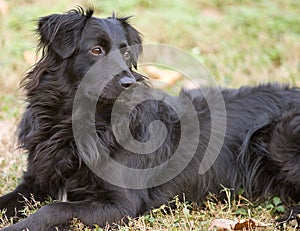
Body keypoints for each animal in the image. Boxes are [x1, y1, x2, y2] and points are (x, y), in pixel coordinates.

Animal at [0, 6, 300, 229]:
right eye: (96, 50)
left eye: (125, 52)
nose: (128, 83)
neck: (80, 122)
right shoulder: (36, 181)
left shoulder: (120, 204)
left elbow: (54, 208)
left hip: (280, 138)